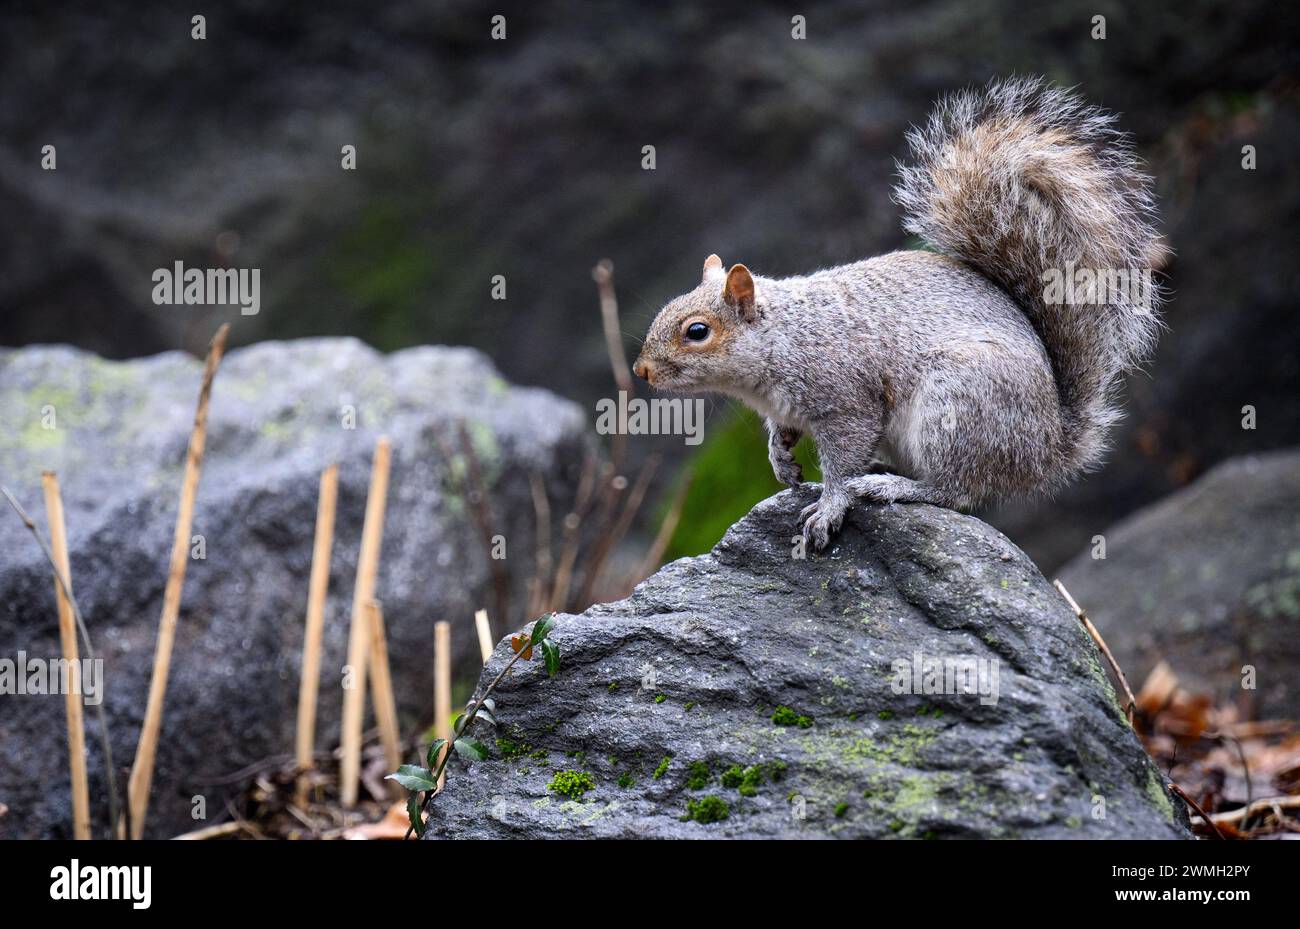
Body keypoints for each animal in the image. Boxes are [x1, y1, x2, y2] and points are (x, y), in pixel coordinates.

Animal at [634, 78, 1164, 553]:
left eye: (697, 331)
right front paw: (781, 460)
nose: (641, 370)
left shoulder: (847, 399)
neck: (786, 336)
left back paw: (893, 487)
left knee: (957, 490)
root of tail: (1049, 447)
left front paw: (829, 507)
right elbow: (783, 435)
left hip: (958, 406)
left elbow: (844, 460)